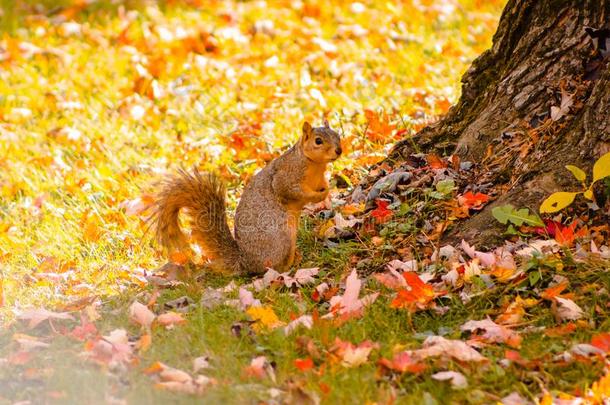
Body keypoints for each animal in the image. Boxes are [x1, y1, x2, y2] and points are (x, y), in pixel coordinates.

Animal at [152, 119, 342, 272]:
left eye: (337, 135)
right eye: (318, 141)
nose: (339, 150)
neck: (314, 165)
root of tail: (245, 262)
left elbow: (323, 185)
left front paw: (327, 190)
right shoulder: (286, 177)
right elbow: (291, 191)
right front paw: (317, 197)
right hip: (281, 239)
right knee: (270, 267)